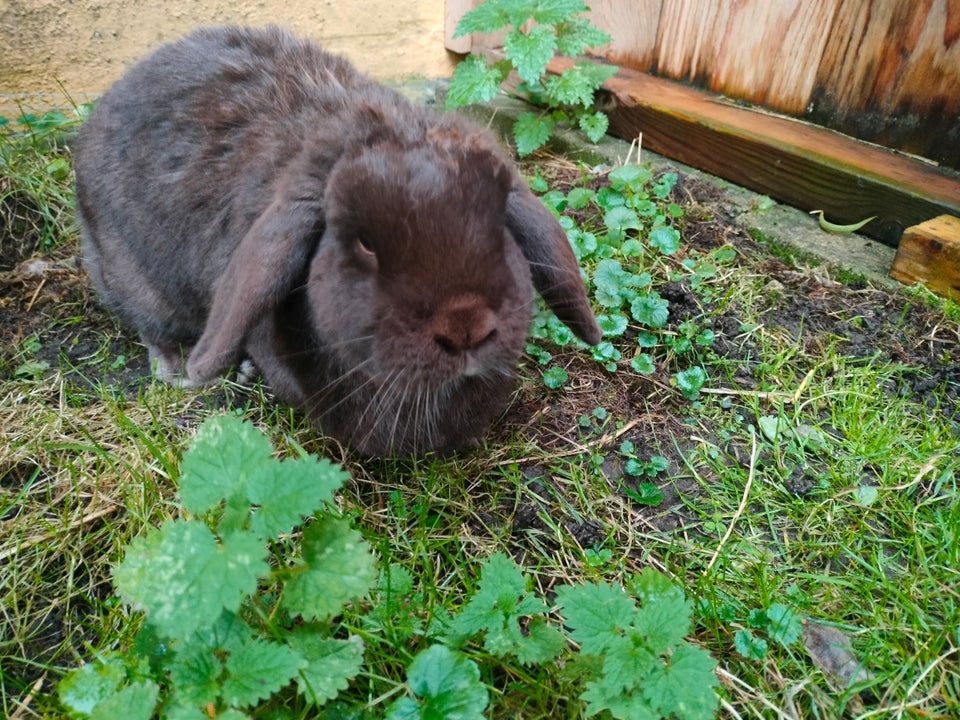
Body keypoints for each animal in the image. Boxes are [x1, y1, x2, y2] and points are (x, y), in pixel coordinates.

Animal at [75, 26, 600, 456]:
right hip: (130, 279)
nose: (466, 325)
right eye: (365, 243)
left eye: (497, 223)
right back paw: (177, 368)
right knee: (150, 324)